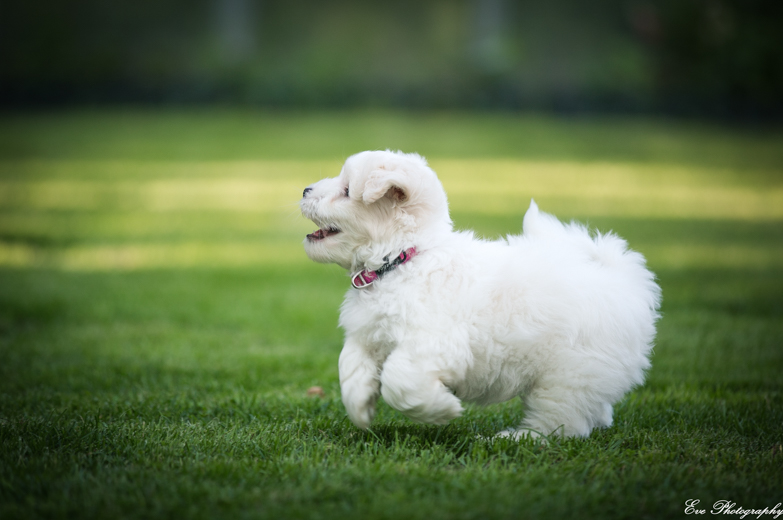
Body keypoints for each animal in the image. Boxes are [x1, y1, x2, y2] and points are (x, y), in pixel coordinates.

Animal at [300, 150, 660, 438]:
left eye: (347, 191)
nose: (304, 189)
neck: (402, 260)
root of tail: (624, 280)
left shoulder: (432, 343)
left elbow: (399, 379)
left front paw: (442, 409)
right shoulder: (368, 334)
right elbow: (350, 365)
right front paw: (361, 408)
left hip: (567, 376)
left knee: (561, 422)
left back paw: (517, 439)